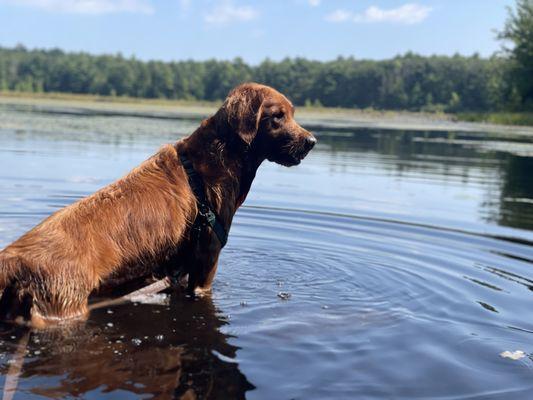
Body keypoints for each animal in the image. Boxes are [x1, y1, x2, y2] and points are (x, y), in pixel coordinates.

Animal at [0, 83, 316, 326]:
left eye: (292, 114)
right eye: (277, 116)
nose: (311, 141)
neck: (221, 157)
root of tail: (11, 263)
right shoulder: (208, 258)